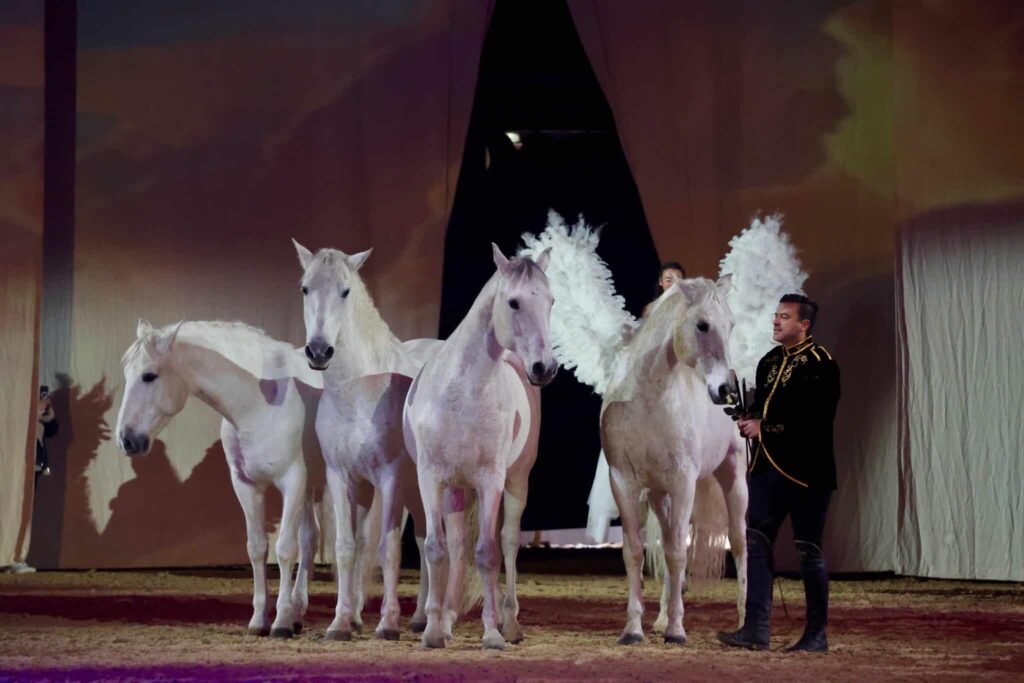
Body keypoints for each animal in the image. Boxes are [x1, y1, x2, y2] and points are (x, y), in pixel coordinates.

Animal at [115, 319, 323, 638]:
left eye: (149, 375)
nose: (126, 439)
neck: (261, 404)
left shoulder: (293, 482)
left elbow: (285, 549)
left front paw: (281, 622)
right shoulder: (247, 485)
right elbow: (257, 548)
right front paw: (259, 620)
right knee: (311, 538)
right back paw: (301, 612)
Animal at [293, 239, 440, 641]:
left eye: (345, 291)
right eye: (305, 288)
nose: (319, 351)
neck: (360, 391)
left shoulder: (389, 478)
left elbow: (388, 549)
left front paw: (388, 623)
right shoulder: (340, 477)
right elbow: (347, 547)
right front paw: (342, 622)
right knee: (423, 540)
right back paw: (419, 617)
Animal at [402, 244, 556, 650]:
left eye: (550, 301)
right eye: (514, 302)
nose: (545, 368)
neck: (462, 391)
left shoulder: (491, 481)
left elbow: (487, 553)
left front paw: (491, 633)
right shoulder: (431, 479)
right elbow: (437, 549)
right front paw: (432, 629)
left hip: (515, 483)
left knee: (508, 543)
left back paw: (510, 623)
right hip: (457, 490)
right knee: (457, 547)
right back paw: (447, 621)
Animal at [600, 276, 748, 645]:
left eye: (731, 325)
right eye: (702, 325)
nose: (726, 390)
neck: (647, 400)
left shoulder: (683, 483)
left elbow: (679, 553)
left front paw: (678, 630)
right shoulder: (623, 482)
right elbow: (636, 552)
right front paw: (633, 629)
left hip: (733, 478)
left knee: (739, 544)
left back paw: (743, 620)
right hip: (658, 495)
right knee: (667, 545)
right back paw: (661, 619)